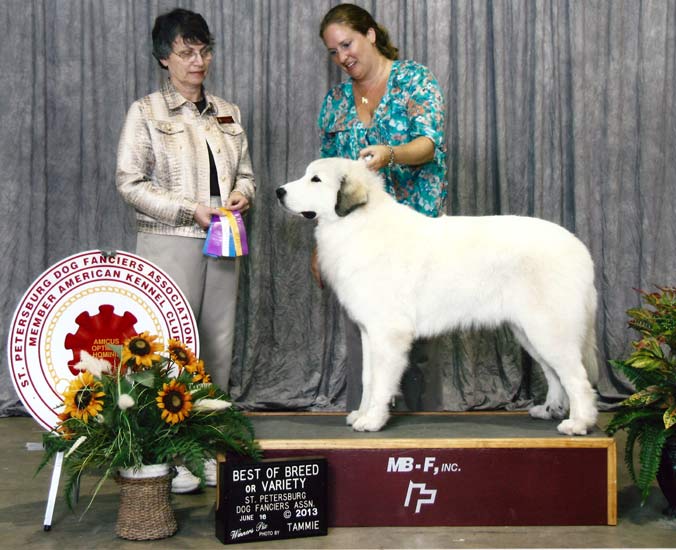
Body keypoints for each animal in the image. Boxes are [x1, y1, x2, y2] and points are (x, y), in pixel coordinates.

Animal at [274, 158, 596, 436]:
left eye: (315, 179)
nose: (279, 192)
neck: (357, 223)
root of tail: (580, 248)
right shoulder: (368, 331)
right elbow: (367, 377)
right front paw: (361, 414)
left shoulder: (388, 333)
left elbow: (381, 381)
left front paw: (373, 420)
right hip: (529, 332)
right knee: (554, 374)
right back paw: (550, 409)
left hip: (549, 329)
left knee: (577, 378)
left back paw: (578, 423)